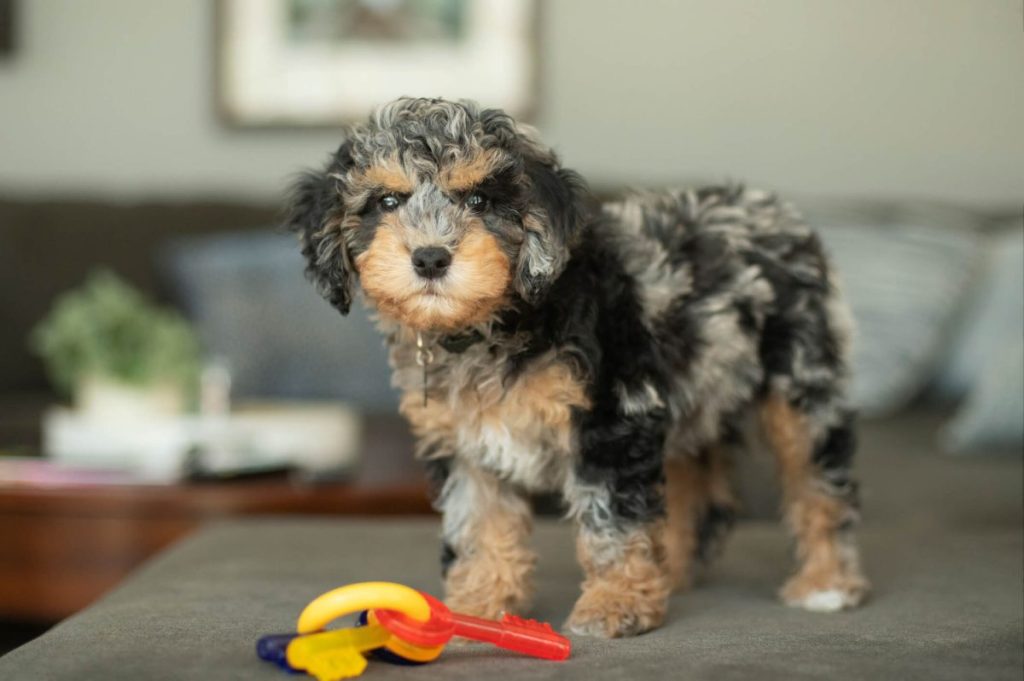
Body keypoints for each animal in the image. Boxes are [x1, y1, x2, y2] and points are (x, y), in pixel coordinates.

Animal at [284, 96, 868, 639]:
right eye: (386, 200)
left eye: (480, 199)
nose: (430, 258)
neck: (497, 322)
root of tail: (776, 211)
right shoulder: (465, 443)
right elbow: (478, 524)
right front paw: (475, 606)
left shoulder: (611, 418)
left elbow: (613, 519)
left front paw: (616, 604)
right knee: (693, 487)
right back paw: (671, 572)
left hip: (801, 383)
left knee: (819, 482)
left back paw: (826, 583)